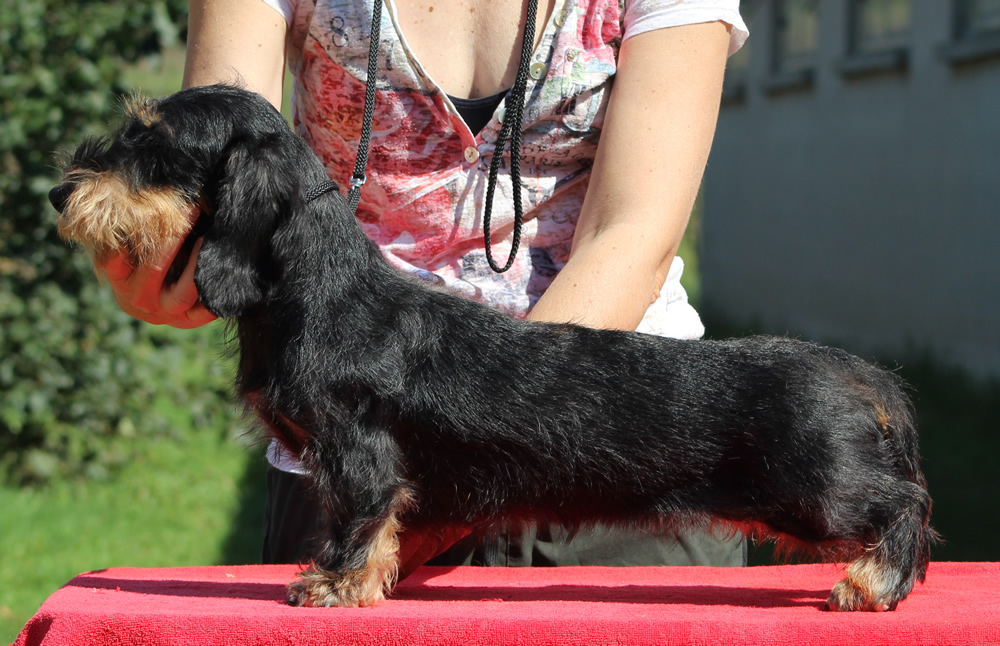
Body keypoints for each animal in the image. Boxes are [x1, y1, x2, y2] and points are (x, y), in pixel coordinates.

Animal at [48, 85, 936, 612]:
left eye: (154, 144)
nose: (57, 192)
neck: (321, 296)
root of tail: (862, 376)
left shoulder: (358, 454)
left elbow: (358, 520)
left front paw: (332, 585)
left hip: (814, 493)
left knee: (906, 507)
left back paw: (873, 581)